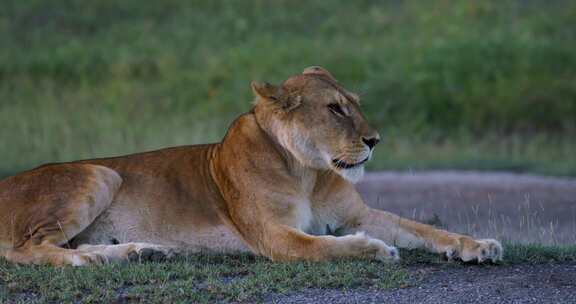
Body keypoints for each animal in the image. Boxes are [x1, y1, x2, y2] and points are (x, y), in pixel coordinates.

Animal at [0, 67, 504, 266]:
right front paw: (377, 250)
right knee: (26, 250)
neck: (308, 171)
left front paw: (479, 245)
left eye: (355, 103)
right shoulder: (274, 236)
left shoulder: (358, 215)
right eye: (335, 109)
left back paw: (137, 253)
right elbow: (328, 246)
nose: (374, 140)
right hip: (101, 173)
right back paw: (89, 258)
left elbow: (423, 228)